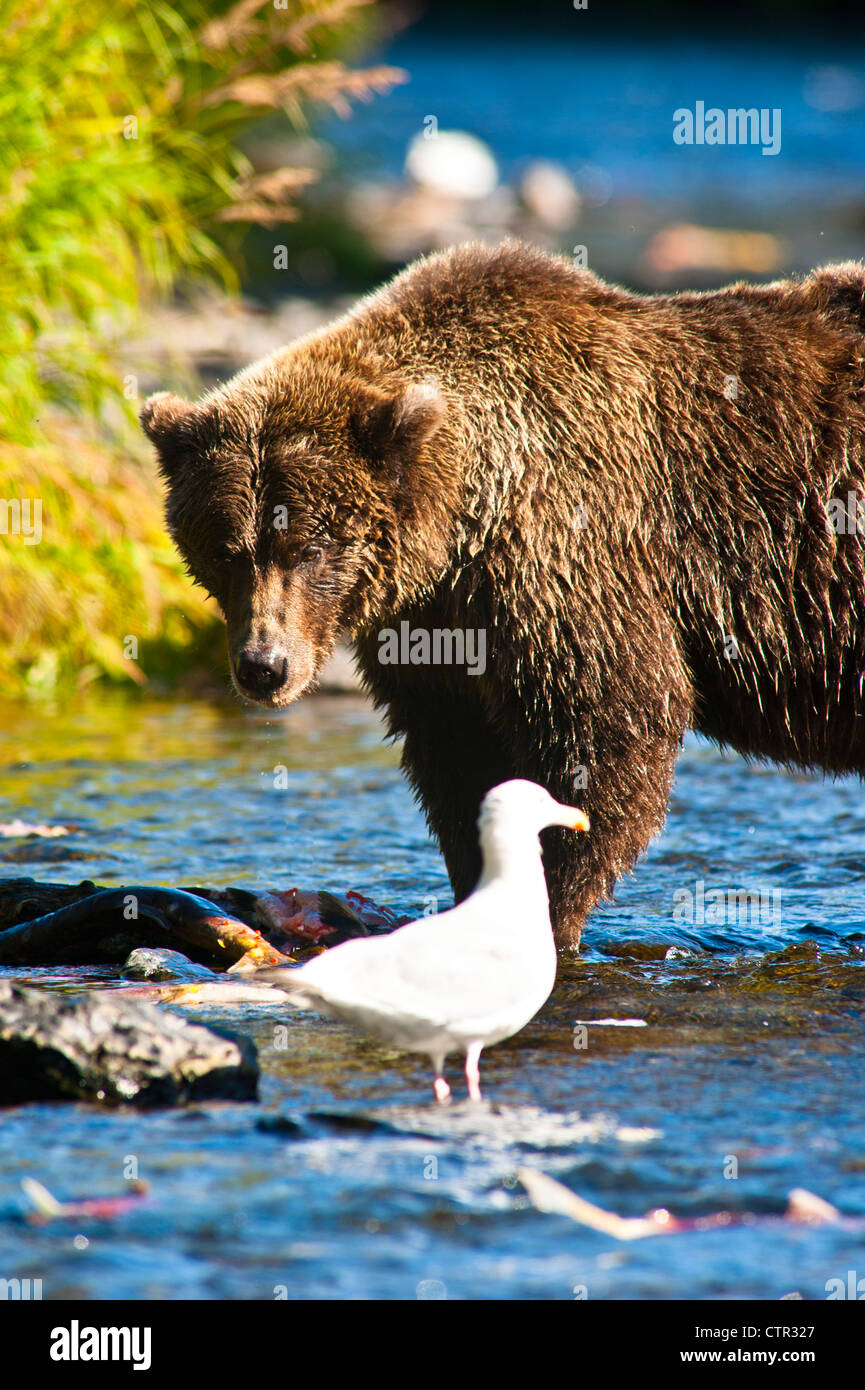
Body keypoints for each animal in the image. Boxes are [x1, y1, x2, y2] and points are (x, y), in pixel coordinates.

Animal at [139, 244, 865, 950]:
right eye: (226, 551)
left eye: (308, 549)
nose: (264, 667)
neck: (464, 521)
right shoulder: (437, 634)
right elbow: (460, 765)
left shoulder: (572, 557)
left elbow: (606, 734)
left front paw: (551, 909)